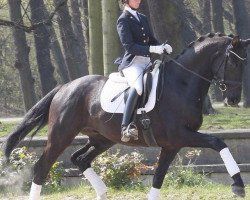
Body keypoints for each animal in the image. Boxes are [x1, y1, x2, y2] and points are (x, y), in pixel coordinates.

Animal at [2, 33, 250, 199]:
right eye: (233, 61)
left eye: (243, 62)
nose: (233, 100)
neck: (181, 84)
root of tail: (65, 87)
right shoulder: (181, 135)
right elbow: (218, 142)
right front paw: (238, 185)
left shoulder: (172, 144)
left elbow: (158, 177)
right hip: (61, 135)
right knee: (42, 167)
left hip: (103, 138)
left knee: (79, 159)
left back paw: (102, 192)